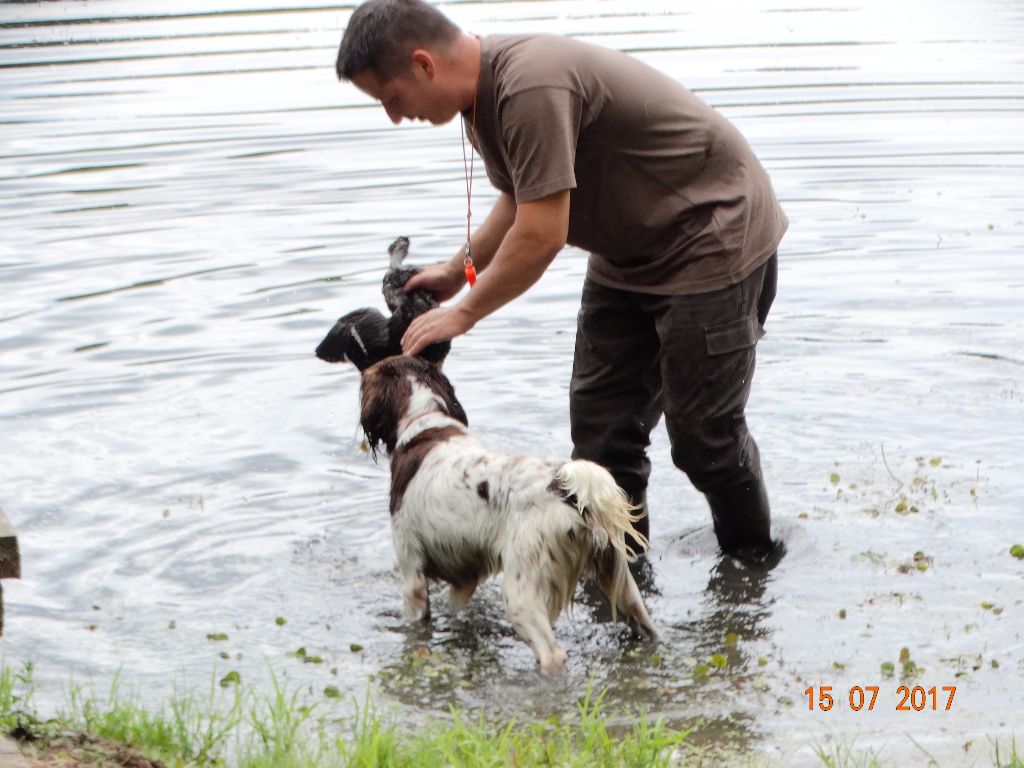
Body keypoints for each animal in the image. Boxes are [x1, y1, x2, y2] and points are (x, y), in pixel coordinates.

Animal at [357, 354, 660, 673]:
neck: (425, 422)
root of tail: (567, 492)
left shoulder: (413, 573)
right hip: (621, 584)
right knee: (647, 626)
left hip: (521, 592)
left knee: (551, 654)